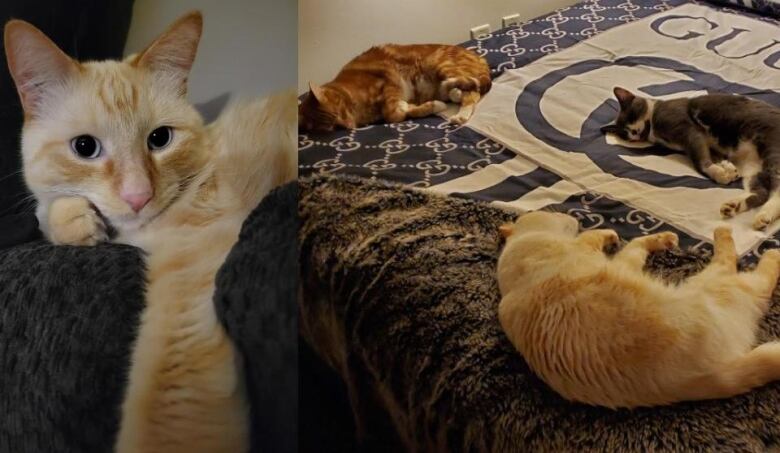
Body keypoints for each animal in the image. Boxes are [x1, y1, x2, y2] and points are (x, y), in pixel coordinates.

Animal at [4, 11, 298, 452]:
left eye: (160, 139)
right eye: (85, 147)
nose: (138, 196)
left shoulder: (189, 265)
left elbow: (165, 407)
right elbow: (47, 207)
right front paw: (75, 220)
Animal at [298, 43, 488, 131]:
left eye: (338, 114)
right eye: (333, 126)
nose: (350, 127)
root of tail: (479, 57)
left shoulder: (389, 83)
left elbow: (393, 115)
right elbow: (403, 112)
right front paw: (414, 107)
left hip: (438, 64)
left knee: (472, 89)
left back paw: (460, 113)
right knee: (472, 92)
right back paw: (455, 94)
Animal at [496, 210, 780, 408]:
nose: (566, 213)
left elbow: (634, 245)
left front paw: (660, 239)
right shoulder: (604, 256)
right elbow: (622, 244)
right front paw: (612, 234)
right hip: (720, 284)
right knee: (739, 267)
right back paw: (756, 245)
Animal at [604, 87, 780, 231]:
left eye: (632, 115)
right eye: (625, 133)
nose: (633, 132)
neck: (654, 129)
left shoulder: (689, 130)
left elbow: (699, 160)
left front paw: (719, 173)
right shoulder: (708, 145)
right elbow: (714, 157)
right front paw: (728, 170)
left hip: (772, 152)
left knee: (776, 192)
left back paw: (763, 216)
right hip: (752, 168)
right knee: (762, 193)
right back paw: (733, 206)